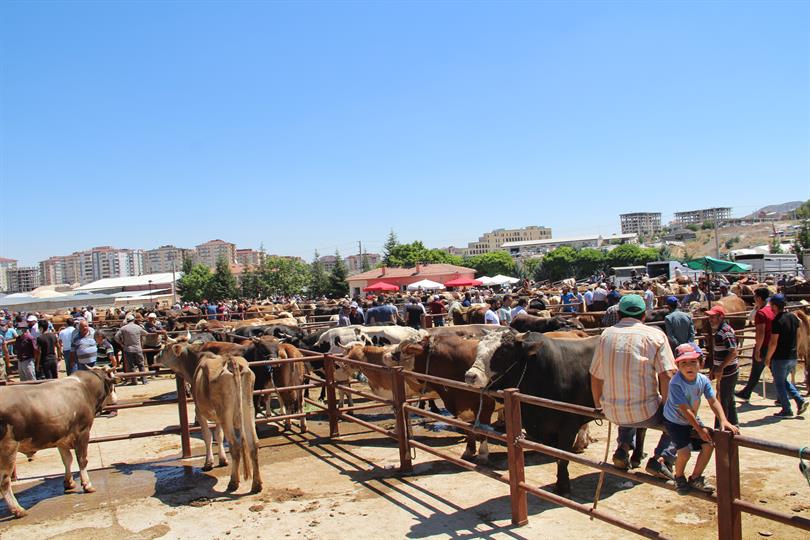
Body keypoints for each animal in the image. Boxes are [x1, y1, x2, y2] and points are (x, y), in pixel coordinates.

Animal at [464, 332, 604, 496]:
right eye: (478, 348)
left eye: (503, 351)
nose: (470, 376)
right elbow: (557, 456)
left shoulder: (568, 425)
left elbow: (562, 458)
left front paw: (563, 488)